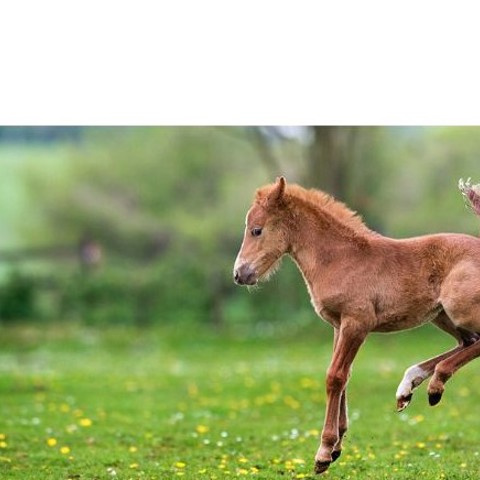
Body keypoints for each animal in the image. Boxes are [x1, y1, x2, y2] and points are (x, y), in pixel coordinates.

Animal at [234, 177, 480, 476]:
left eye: (256, 230)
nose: (240, 274)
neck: (340, 258)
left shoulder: (356, 323)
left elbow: (335, 377)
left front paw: (324, 452)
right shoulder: (338, 326)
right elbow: (344, 375)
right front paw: (337, 446)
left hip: (460, 309)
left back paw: (434, 386)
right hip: (443, 315)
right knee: (468, 342)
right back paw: (409, 385)